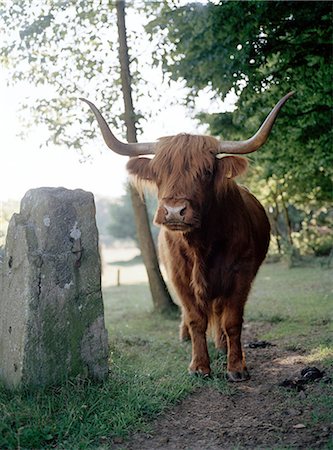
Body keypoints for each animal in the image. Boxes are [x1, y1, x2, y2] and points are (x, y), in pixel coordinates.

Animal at [81, 93, 292, 382]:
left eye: (206, 171)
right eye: (158, 173)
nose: (174, 211)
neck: (201, 245)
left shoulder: (241, 274)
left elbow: (232, 320)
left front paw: (236, 367)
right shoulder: (180, 276)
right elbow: (195, 318)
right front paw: (199, 366)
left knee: (220, 311)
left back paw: (222, 345)